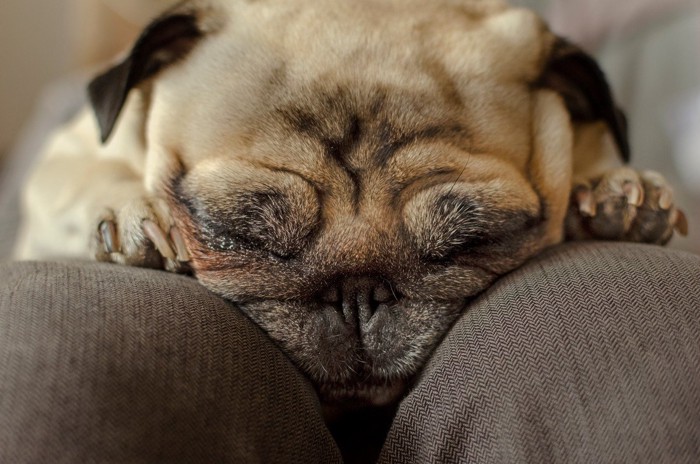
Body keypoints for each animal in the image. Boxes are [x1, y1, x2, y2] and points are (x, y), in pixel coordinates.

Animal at [13, 0, 688, 410]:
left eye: (473, 240)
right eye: (236, 231)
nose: (357, 294)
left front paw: (612, 193)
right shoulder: (64, 164)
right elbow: (81, 175)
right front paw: (130, 215)